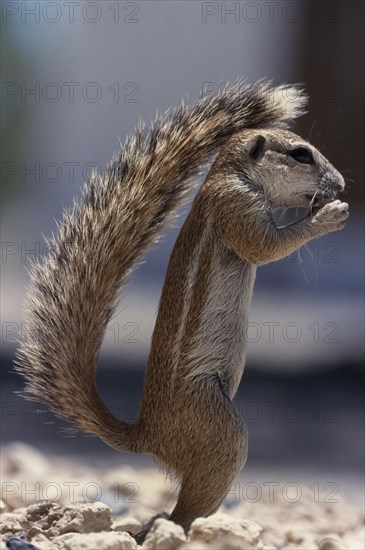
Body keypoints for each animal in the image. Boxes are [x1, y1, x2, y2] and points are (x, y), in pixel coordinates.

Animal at [15, 81, 348, 536]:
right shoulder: (235, 207)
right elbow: (264, 247)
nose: (342, 184)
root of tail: (146, 436)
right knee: (185, 505)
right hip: (218, 427)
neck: (231, 174)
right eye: (301, 154)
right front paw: (328, 216)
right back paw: (182, 529)